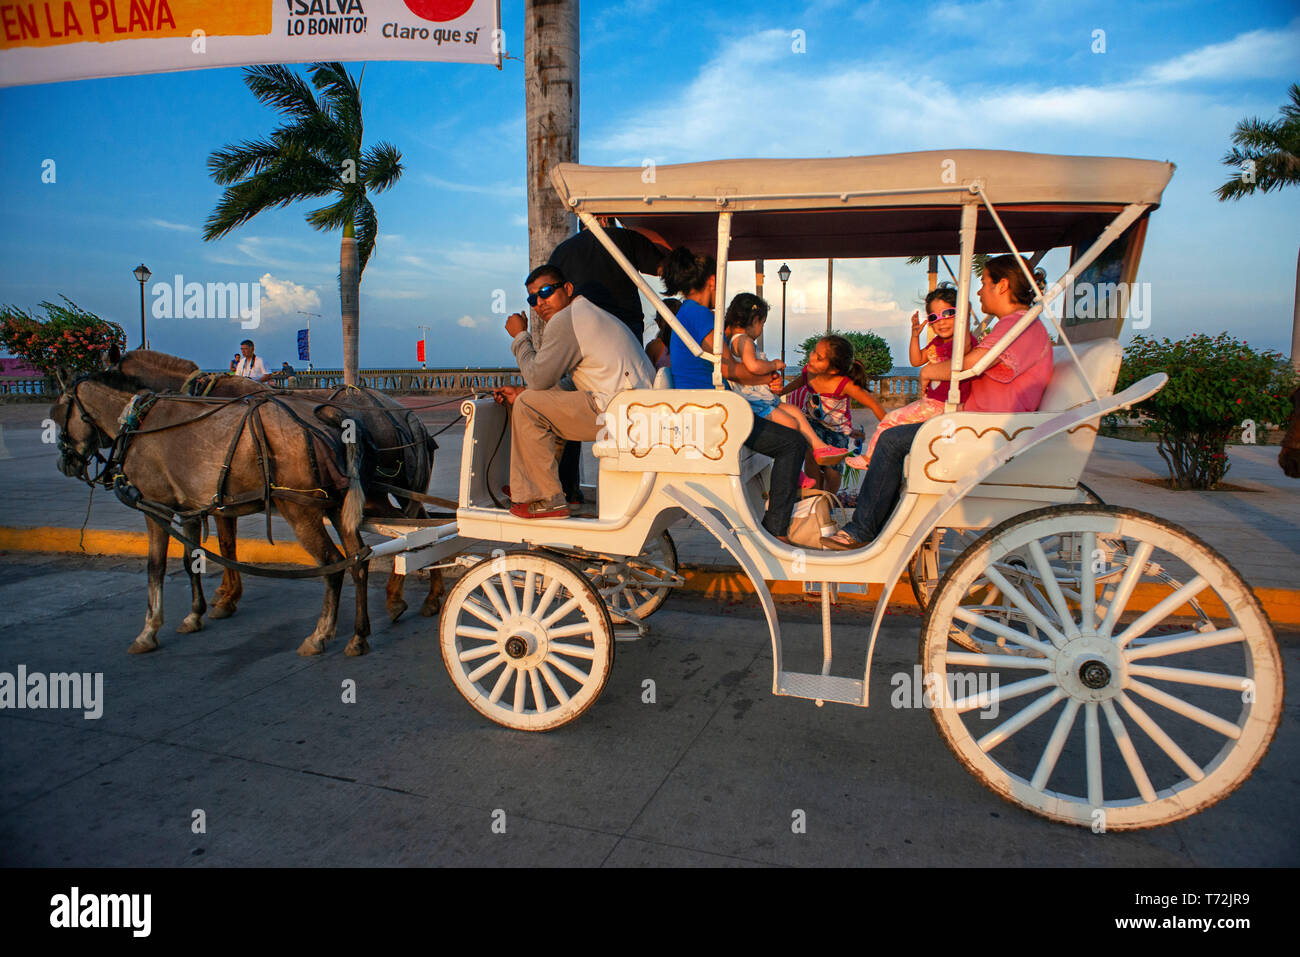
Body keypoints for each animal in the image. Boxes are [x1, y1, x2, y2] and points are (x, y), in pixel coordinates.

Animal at [53, 371, 374, 657]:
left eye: (57, 415)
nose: (64, 464)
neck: (138, 421)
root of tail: (327, 420)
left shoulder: (155, 506)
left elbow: (155, 566)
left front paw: (149, 631)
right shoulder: (190, 509)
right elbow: (190, 560)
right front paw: (195, 614)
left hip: (300, 509)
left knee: (332, 564)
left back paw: (319, 635)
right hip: (336, 505)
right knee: (358, 559)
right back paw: (358, 636)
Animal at [114, 351, 444, 621]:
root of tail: (405, 416)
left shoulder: (218, 498)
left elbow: (226, 545)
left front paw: (225, 596)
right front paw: (224, 594)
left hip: (375, 490)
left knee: (411, 529)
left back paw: (397, 598)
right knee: (419, 524)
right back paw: (428, 596)